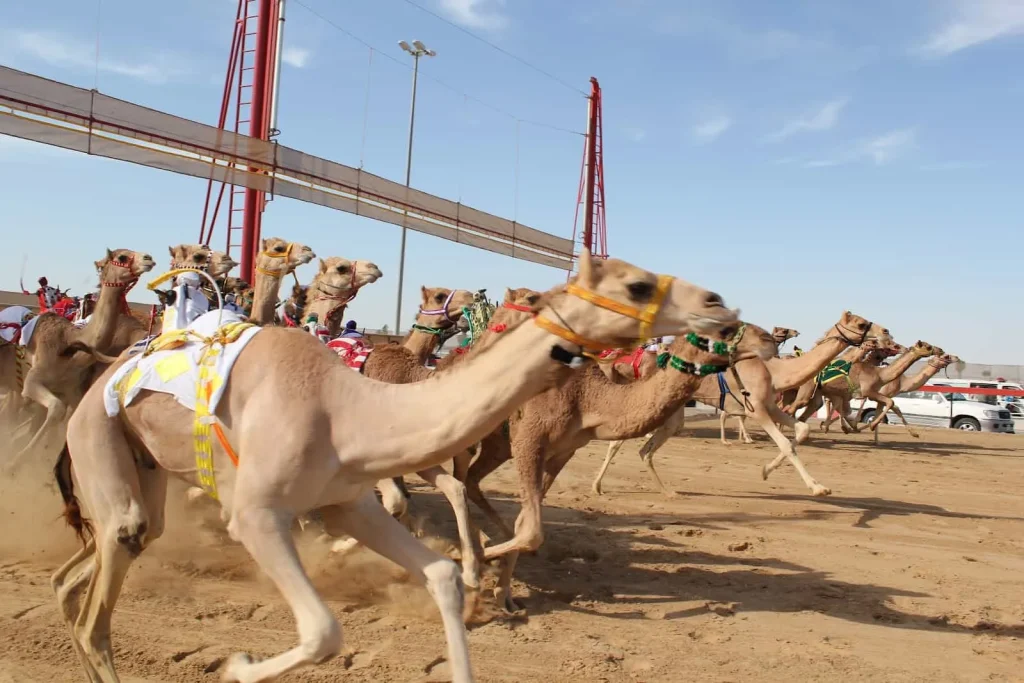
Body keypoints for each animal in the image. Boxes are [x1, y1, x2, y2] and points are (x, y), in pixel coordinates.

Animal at [49, 250, 737, 683]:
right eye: (637, 285)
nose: (720, 304)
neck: (350, 407)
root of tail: (108, 372)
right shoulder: (258, 512)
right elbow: (323, 632)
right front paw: (238, 667)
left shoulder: (345, 498)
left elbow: (439, 572)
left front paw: (475, 583)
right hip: (97, 438)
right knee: (104, 588)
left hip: (146, 467)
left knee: (94, 566)